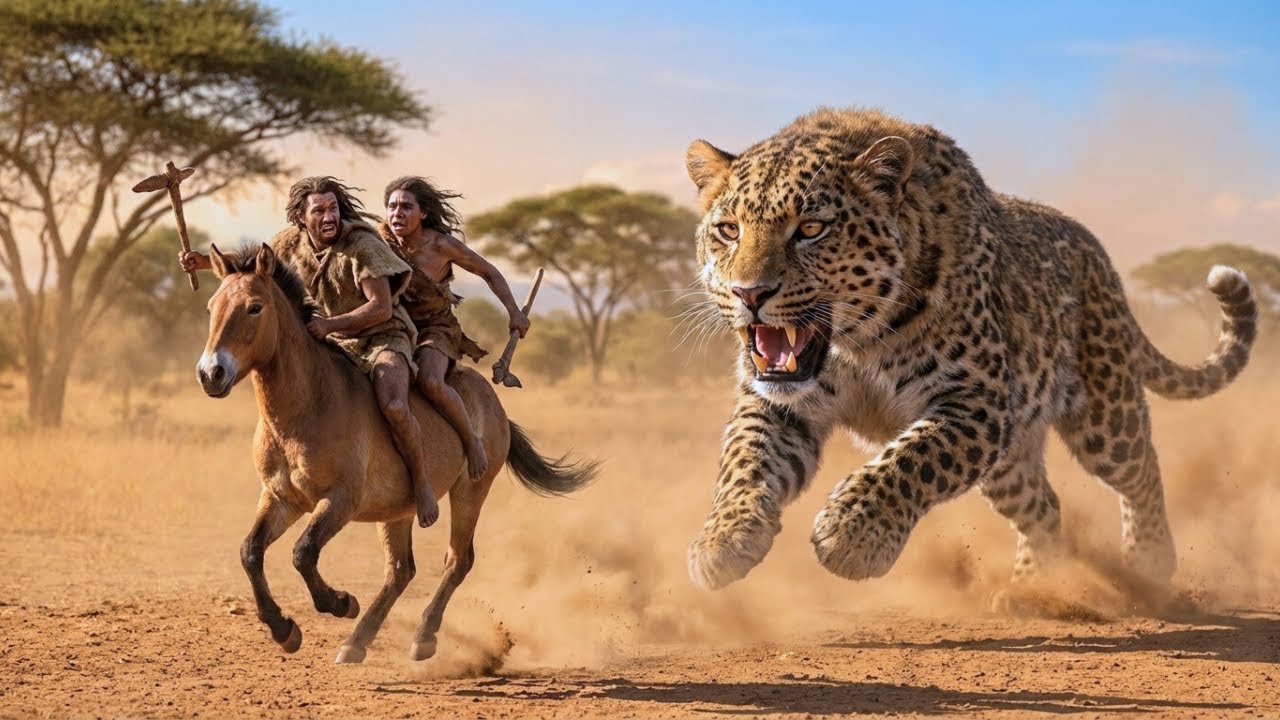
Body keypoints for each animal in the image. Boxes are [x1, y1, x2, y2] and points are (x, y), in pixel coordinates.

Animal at [195, 243, 596, 664]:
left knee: (458, 560)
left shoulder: (340, 500)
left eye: (254, 307)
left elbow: (303, 552)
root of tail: (493, 401)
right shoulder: (281, 498)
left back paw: (422, 637)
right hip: (397, 511)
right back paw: (356, 642)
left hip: (470, 492)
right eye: (211, 306)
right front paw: (284, 629)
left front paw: (340, 603)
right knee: (401, 570)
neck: (306, 408)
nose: (211, 373)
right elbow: (250, 552)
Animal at [682, 107, 1257, 595]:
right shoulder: (778, 402)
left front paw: (852, 536)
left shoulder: (977, 402)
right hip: (1009, 463)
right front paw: (722, 540)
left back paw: (1148, 564)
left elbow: (910, 460)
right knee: (1045, 505)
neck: (857, 344)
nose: (749, 293)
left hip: (1104, 412)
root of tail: (1101, 256)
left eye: (810, 229)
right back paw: (1034, 590)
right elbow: (745, 460)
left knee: (1141, 471)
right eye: (728, 230)